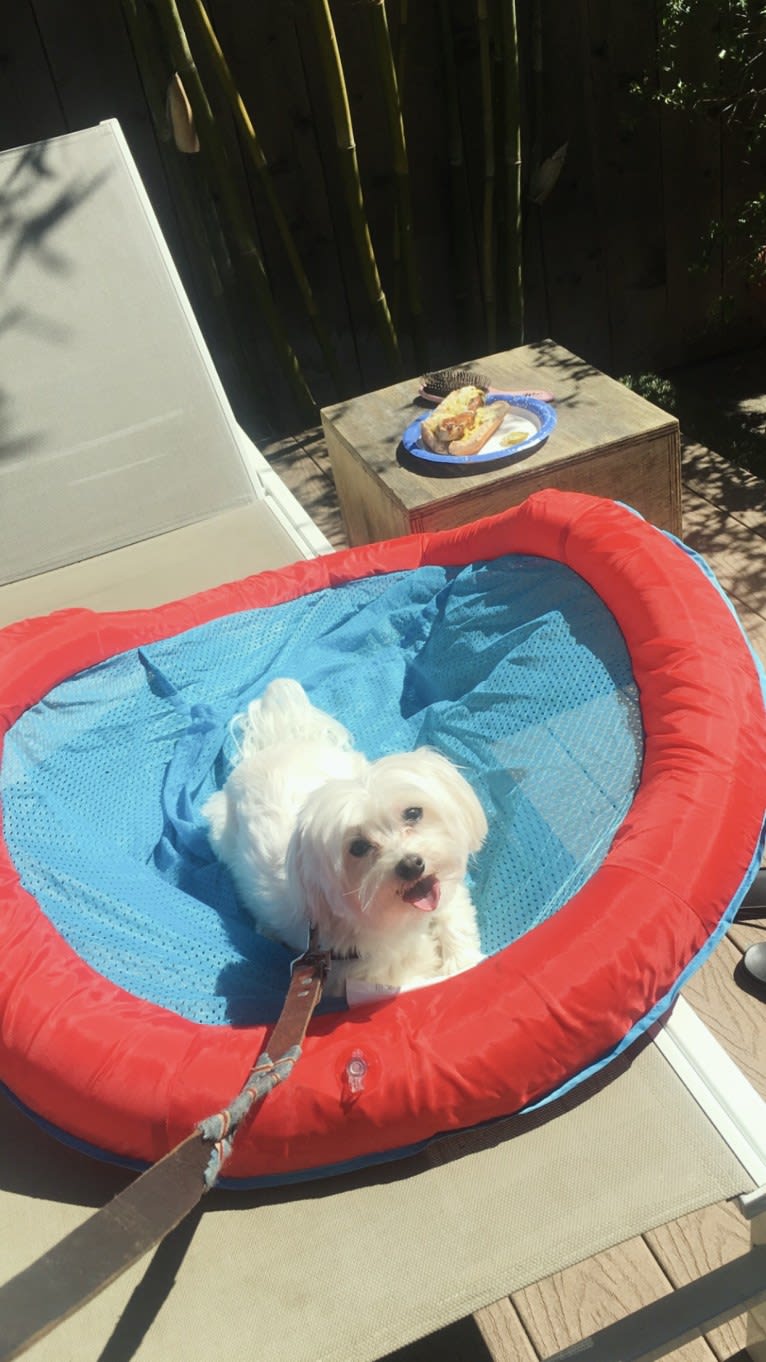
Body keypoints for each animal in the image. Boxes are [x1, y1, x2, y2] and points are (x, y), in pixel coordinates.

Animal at [201, 678, 482, 991]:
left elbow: (456, 923)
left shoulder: (445, 896)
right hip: (220, 829)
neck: (401, 920)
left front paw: (462, 963)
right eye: (358, 848)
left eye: (413, 813)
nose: (410, 865)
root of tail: (277, 743)